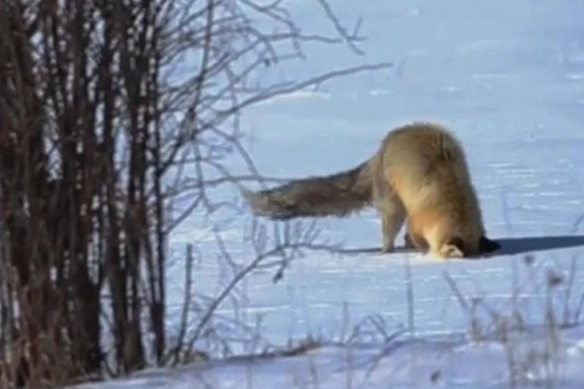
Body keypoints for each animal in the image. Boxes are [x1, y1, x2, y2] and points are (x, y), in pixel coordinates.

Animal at [241, 123, 498, 260]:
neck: (452, 201)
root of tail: (384, 145)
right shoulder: (416, 220)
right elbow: (413, 236)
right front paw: (419, 250)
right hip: (393, 203)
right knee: (389, 232)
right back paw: (385, 252)